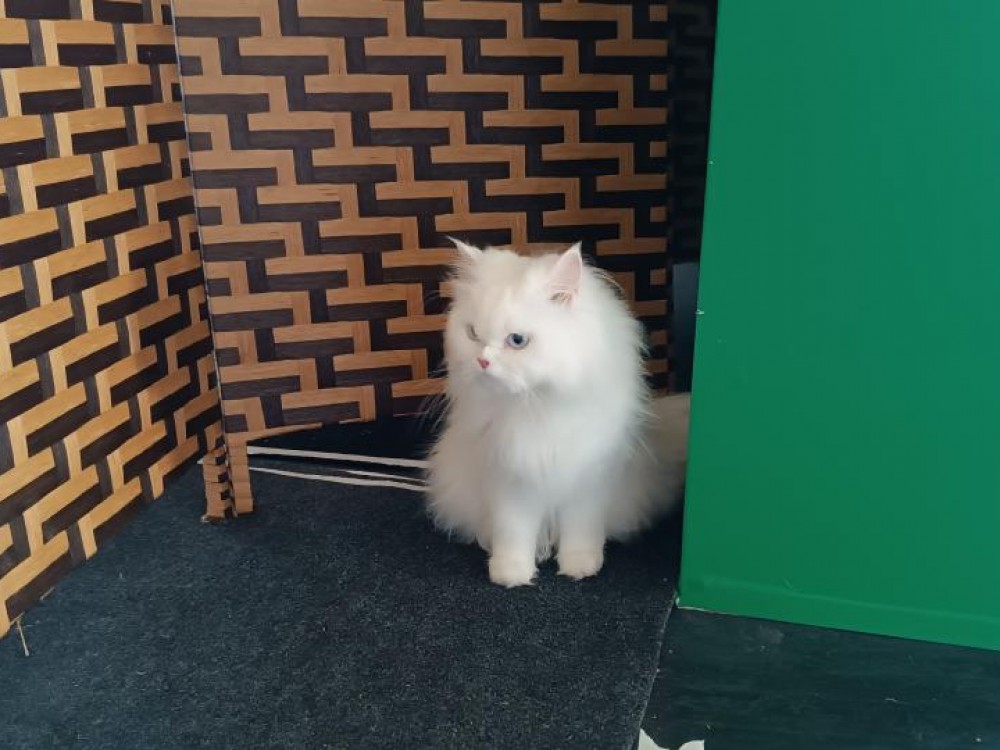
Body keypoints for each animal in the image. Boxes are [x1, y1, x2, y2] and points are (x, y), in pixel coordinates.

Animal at [426, 239, 689, 587]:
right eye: (472, 334)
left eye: (517, 340)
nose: (482, 361)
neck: (536, 407)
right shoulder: (510, 478)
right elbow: (513, 532)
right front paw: (511, 574)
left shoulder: (589, 478)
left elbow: (581, 531)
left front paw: (580, 567)